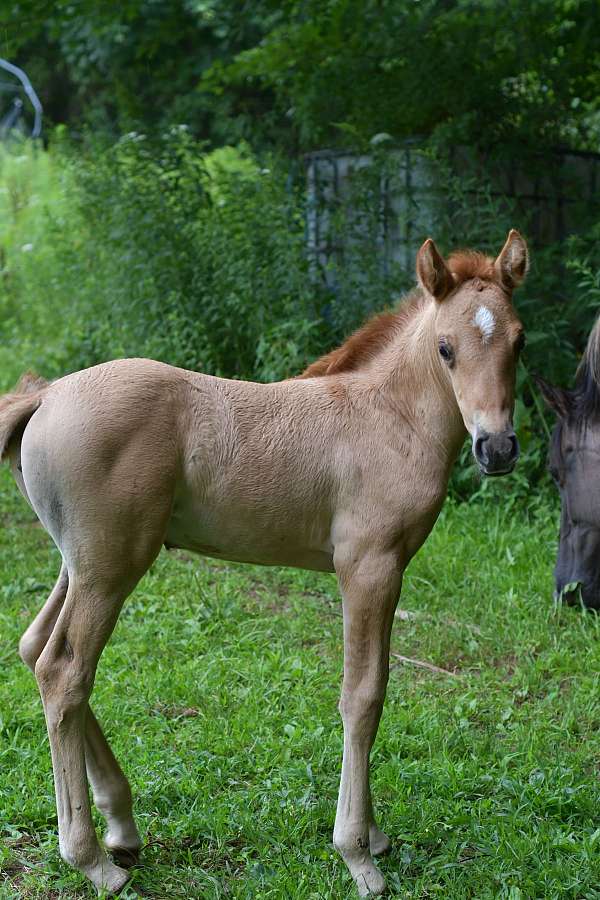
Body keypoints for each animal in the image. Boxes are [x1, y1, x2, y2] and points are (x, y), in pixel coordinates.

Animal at [0, 230, 528, 897]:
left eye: (519, 340)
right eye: (446, 348)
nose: (497, 447)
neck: (387, 417)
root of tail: (43, 396)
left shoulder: (390, 572)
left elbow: (376, 687)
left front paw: (375, 835)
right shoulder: (368, 569)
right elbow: (363, 696)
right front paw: (359, 855)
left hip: (80, 563)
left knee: (34, 647)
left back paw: (122, 824)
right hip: (110, 568)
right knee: (64, 671)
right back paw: (93, 859)